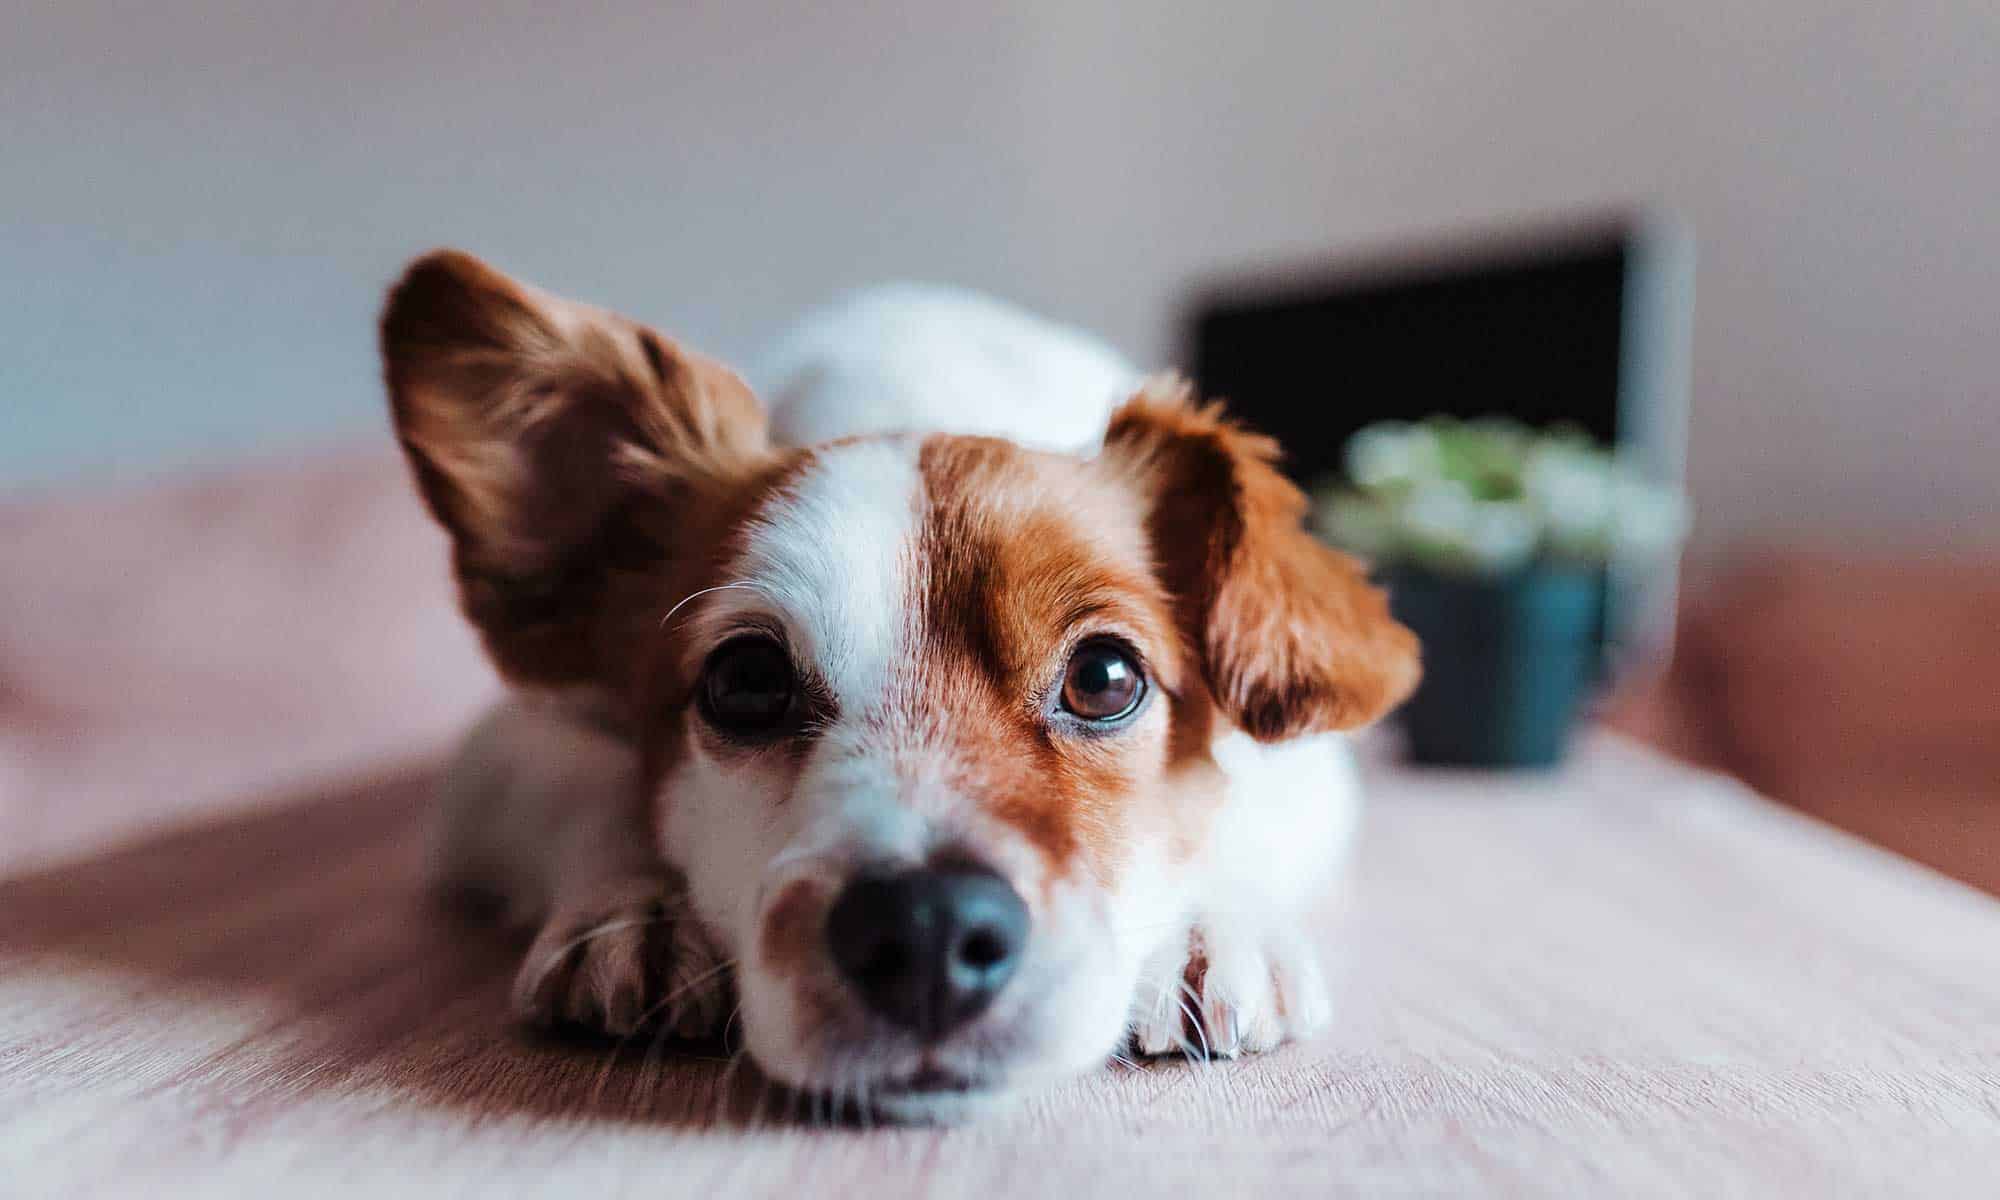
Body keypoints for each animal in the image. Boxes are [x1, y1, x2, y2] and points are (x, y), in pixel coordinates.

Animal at [378, 253, 1424, 1128]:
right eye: (745, 681)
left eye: (1104, 677)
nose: (927, 931)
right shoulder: (504, 746)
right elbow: (589, 788)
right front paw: (637, 908)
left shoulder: (1308, 765)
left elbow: (1235, 808)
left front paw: (1208, 924)